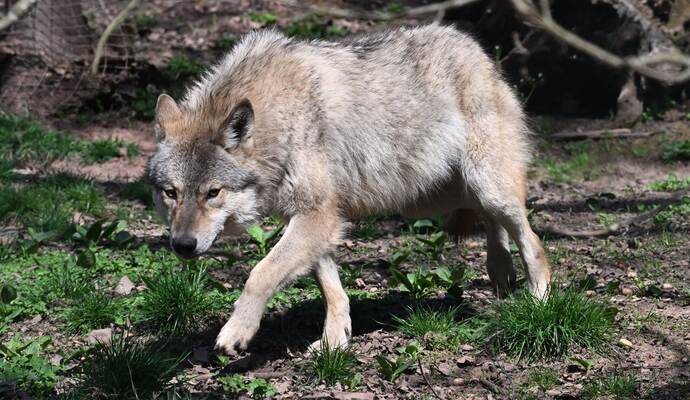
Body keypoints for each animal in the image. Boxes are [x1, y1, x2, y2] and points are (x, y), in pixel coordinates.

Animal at [147, 24, 551, 355]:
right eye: (171, 193)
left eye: (212, 192)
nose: (182, 245)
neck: (279, 119)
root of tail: (479, 51)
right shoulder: (318, 218)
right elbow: (331, 289)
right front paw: (334, 341)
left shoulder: (317, 214)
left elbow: (260, 274)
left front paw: (237, 332)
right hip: (430, 198)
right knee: (489, 220)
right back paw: (500, 271)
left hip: (484, 185)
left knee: (532, 240)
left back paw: (538, 301)